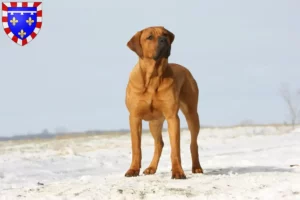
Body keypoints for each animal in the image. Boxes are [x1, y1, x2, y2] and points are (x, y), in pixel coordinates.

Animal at [124, 25, 204, 179]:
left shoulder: (172, 117)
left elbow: (175, 148)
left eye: (165, 34)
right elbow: (136, 147)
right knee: (159, 143)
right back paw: (151, 168)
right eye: (149, 37)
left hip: (192, 114)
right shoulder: (134, 117)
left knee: (193, 142)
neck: (153, 76)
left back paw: (197, 167)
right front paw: (133, 170)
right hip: (154, 122)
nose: (163, 40)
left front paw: (178, 172)